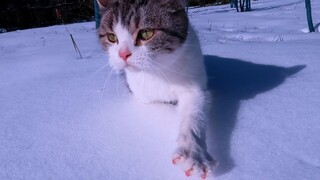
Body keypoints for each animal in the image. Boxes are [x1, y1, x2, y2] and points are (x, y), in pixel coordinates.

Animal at [97, 0, 218, 178]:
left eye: (146, 33)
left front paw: (193, 154)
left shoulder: (195, 85)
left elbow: (194, 111)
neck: (158, 71)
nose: (123, 54)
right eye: (112, 37)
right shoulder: (140, 95)